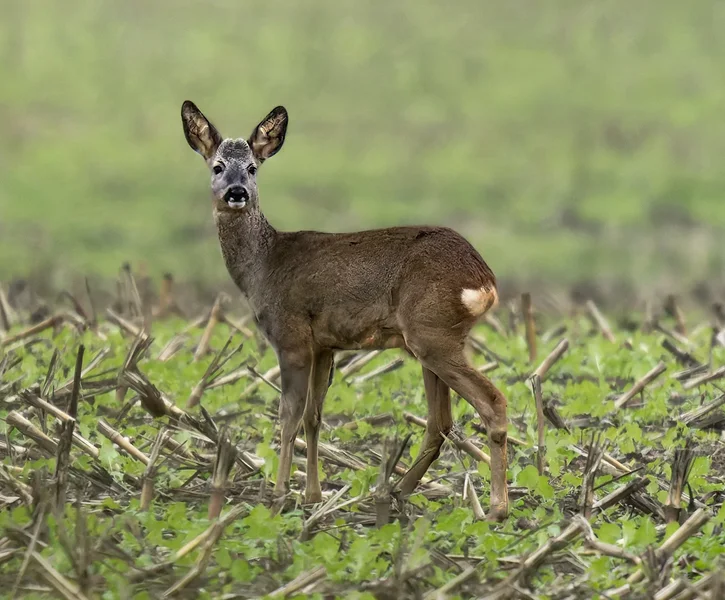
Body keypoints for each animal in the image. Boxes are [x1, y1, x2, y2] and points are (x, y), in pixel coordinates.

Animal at [181, 101, 509, 520]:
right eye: (217, 166)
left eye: (253, 167)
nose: (237, 193)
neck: (264, 265)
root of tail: (483, 278)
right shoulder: (325, 346)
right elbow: (313, 417)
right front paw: (312, 495)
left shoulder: (290, 337)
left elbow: (287, 417)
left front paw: (278, 496)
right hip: (430, 341)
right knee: (440, 421)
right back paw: (395, 493)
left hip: (432, 333)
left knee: (491, 402)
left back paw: (497, 508)